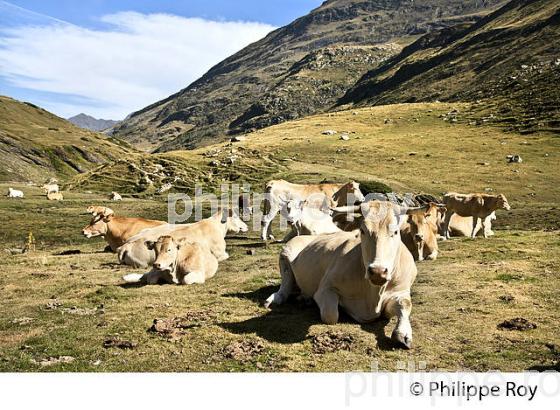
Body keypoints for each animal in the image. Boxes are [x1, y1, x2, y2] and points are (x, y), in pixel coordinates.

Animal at [264, 200, 426, 348]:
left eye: (396, 232)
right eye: (362, 230)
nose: (377, 272)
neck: (373, 295)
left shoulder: (401, 290)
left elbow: (405, 304)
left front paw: (403, 334)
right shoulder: (325, 288)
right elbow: (330, 315)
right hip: (285, 253)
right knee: (285, 286)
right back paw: (279, 298)